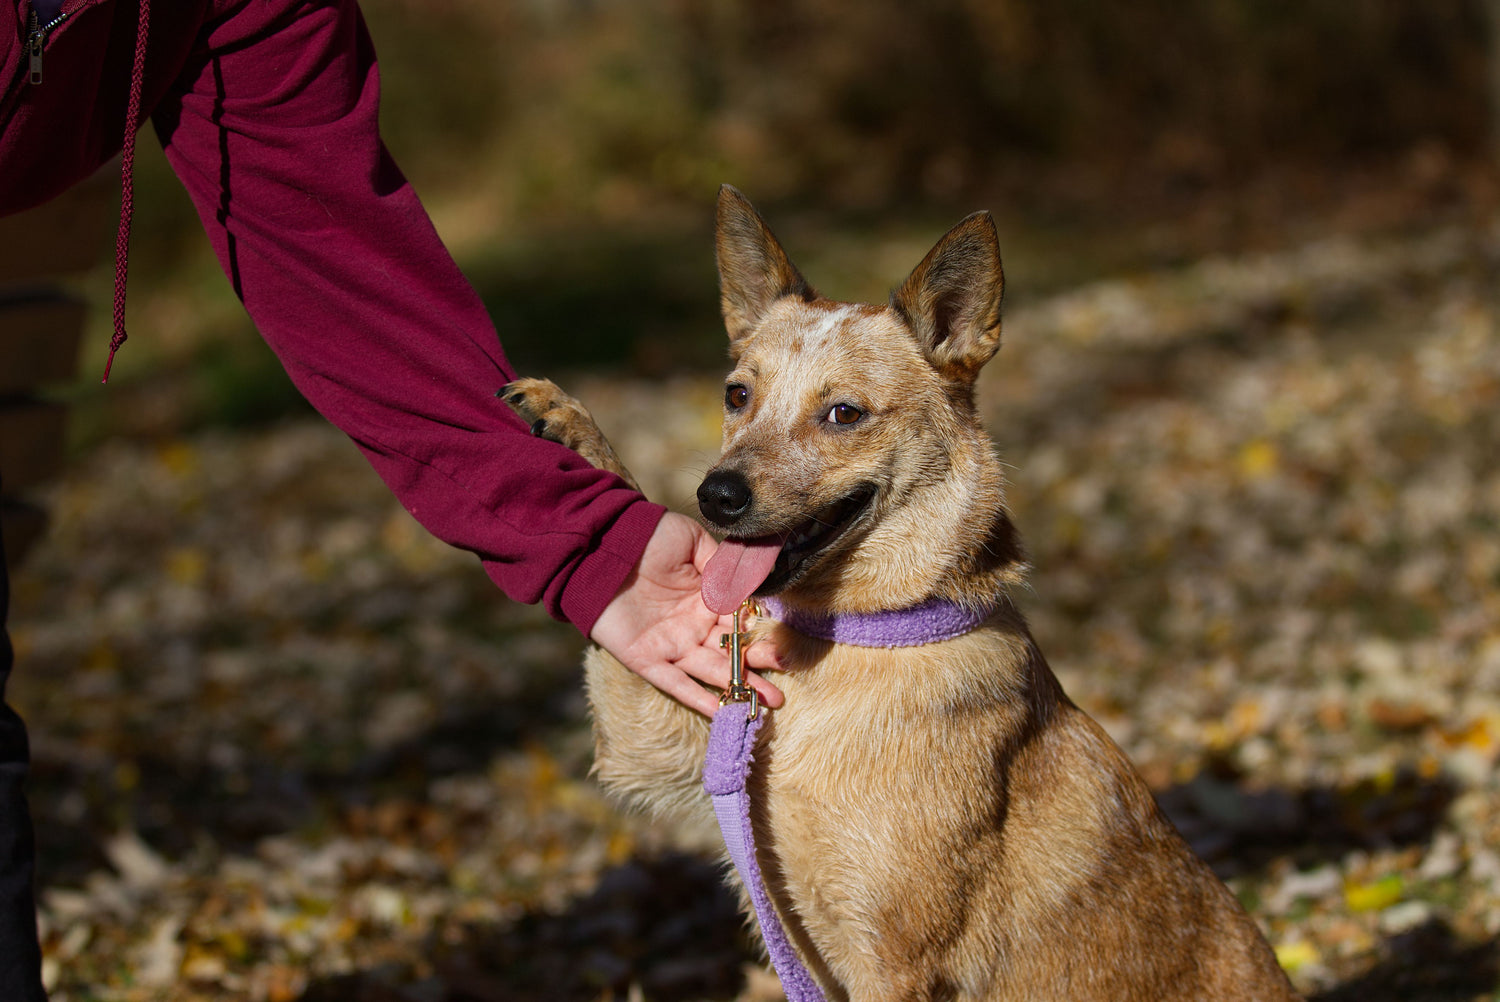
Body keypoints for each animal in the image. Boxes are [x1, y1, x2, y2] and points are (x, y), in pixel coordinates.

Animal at [498, 183, 1296, 996]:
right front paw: (568, 427)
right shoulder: (664, 756)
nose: (715, 497)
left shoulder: (895, 962)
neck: (851, 637)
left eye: (844, 413)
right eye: (736, 395)